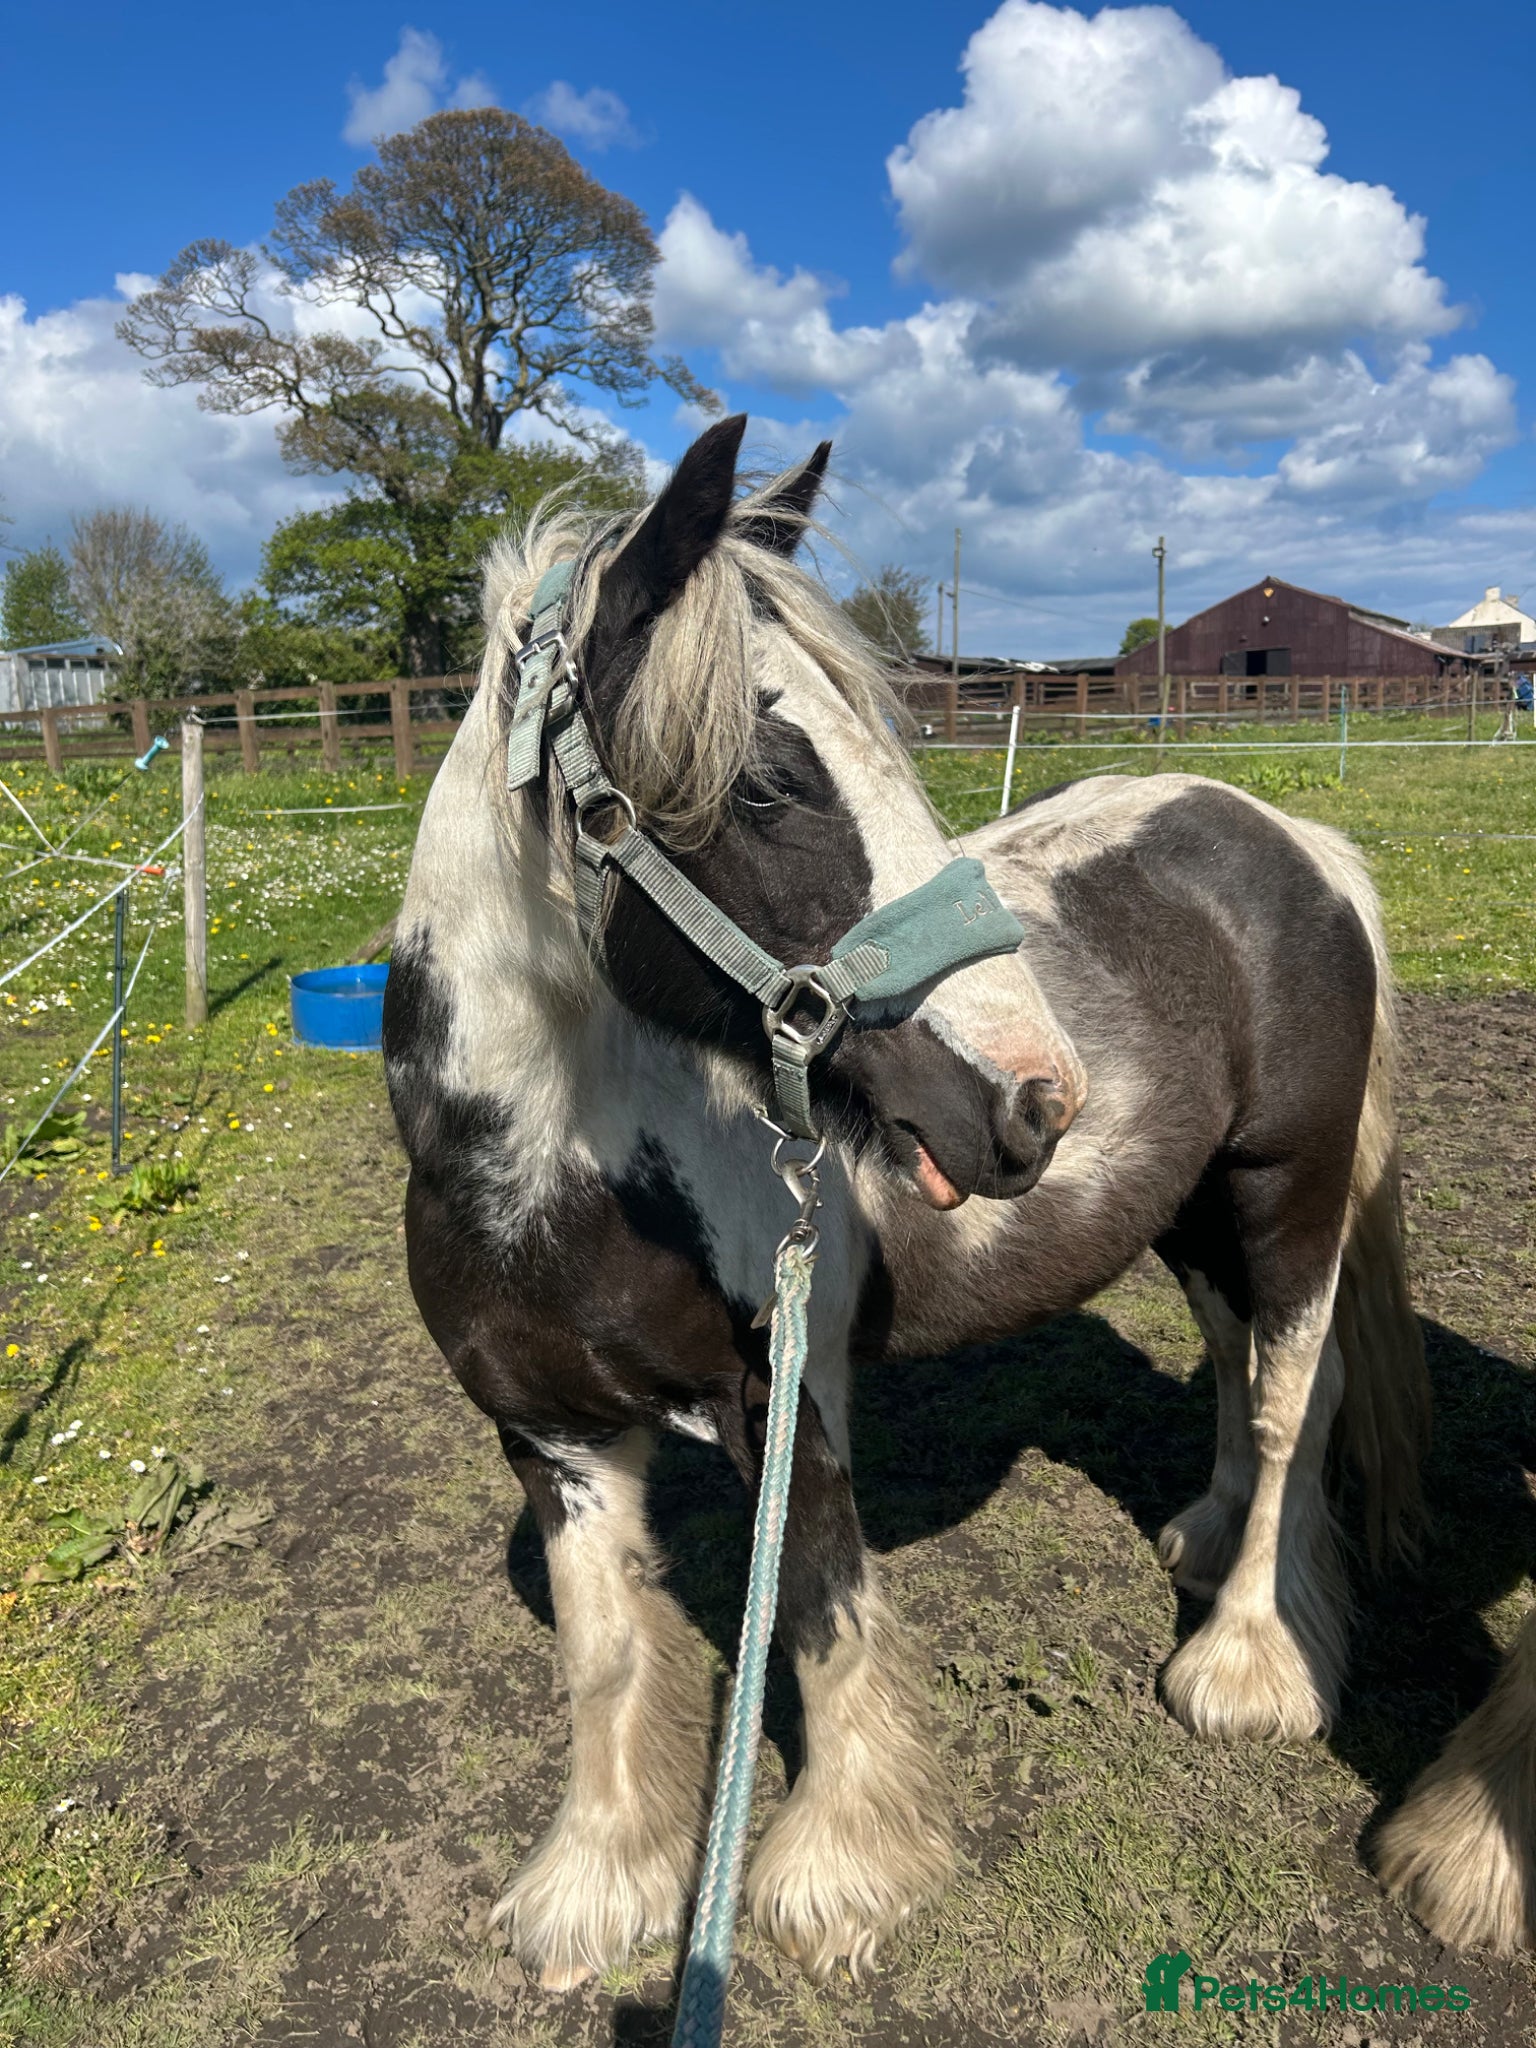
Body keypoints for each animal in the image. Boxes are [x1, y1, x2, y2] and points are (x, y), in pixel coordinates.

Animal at [383, 413, 1430, 1990]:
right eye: (767, 782)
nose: (1037, 1100)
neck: (559, 1182)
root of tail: (1289, 839)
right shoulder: (549, 1433)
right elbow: (604, 1652)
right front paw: (598, 1878)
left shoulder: (788, 1403)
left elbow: (820, 1613)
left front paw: (838, 1871)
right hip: (1186, 1215)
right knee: (1233, 1354)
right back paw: (1199, 1531)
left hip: (1283, 1190)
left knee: (1292, 1388)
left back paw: (1247, 1656)